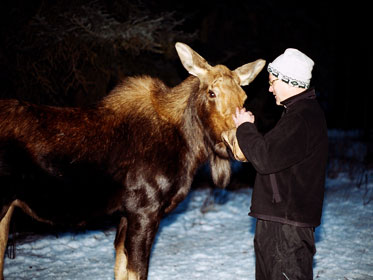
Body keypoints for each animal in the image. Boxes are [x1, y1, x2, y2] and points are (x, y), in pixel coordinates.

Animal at [0, 42, 264, 280]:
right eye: (211, 93)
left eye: (244, 96)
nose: (238, 143)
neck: (189, 147)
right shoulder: (143, 209)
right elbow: (137, 272)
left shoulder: (127, 214)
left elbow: (121, 270)